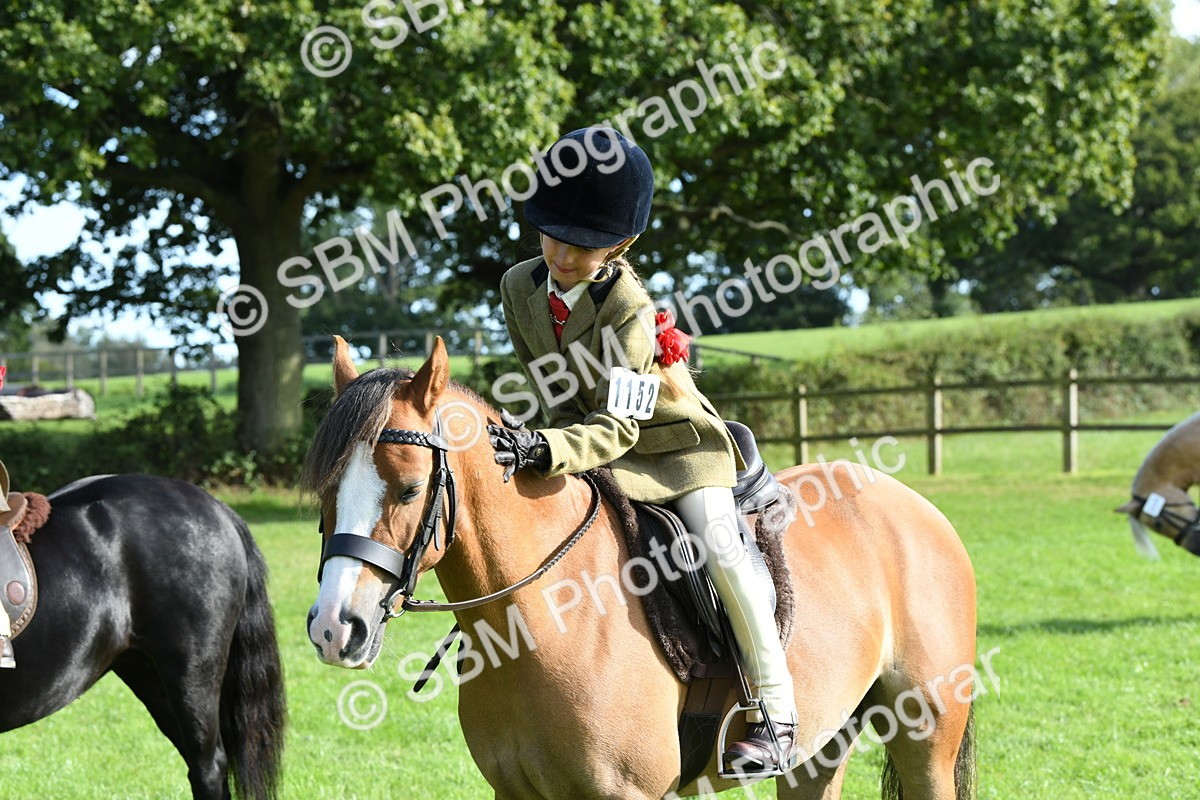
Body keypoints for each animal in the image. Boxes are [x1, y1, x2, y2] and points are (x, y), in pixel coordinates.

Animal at [304, 336, 978, 800]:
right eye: (325, 491)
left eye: (410, 490)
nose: (335, 628)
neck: (538, 617)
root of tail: (916, 506)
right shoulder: (514, 791)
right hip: (820, 749)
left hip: (926, 738)